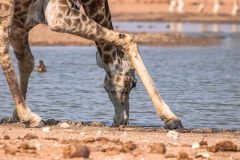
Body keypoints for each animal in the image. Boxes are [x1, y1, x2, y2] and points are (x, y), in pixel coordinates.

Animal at [0, 0, 183, 128]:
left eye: (106, 89)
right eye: (132, 84)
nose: (121, 121)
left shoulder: (20, 26)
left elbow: (27, 62)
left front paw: (15, 115)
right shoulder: (58, 15)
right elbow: (127, 39)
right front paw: (171, 118)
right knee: (3, 51)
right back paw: (31, 117)